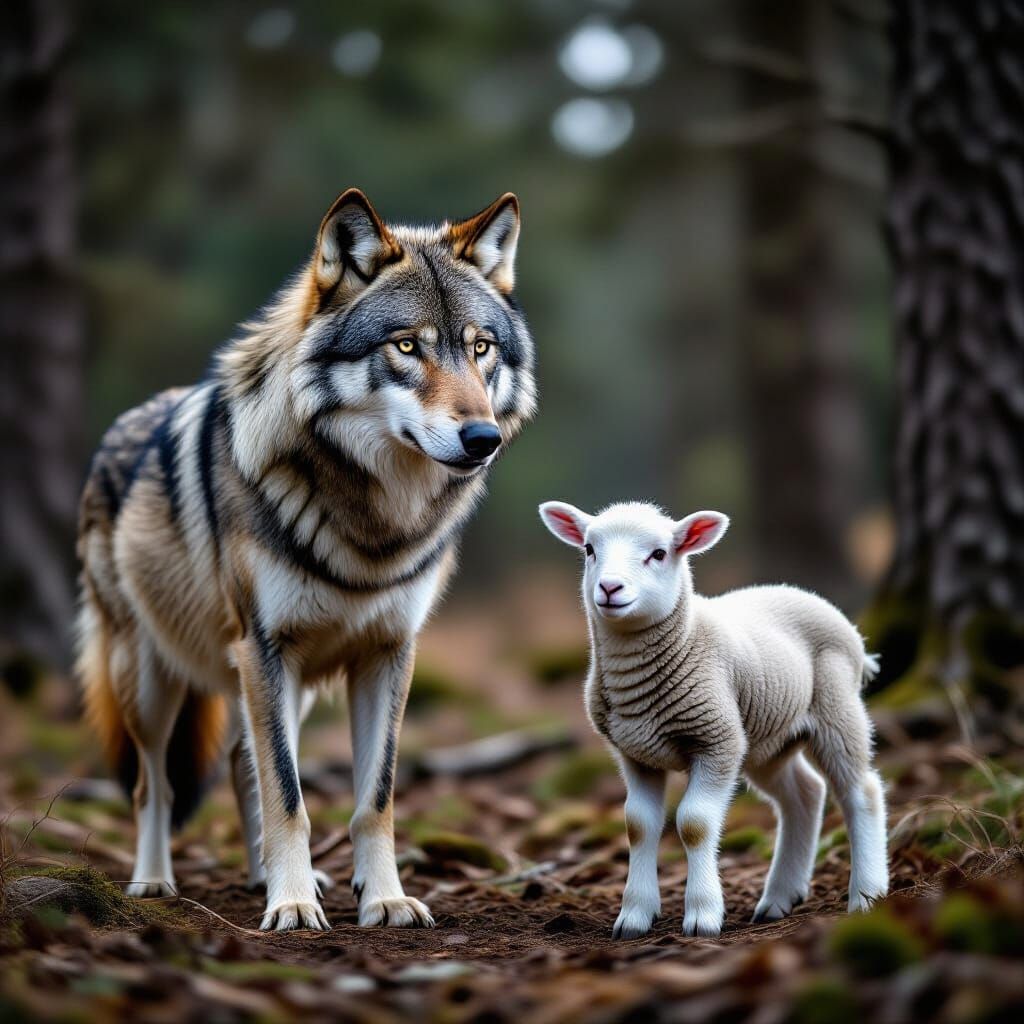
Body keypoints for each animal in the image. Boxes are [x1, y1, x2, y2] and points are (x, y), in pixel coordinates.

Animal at [76, 189, 536, 931]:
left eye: (480, 348)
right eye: (406, 346)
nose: (482, 438)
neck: (373, 521)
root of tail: (118, 429)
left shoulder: (387, 653)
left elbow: (373, 798)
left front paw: (383, 899)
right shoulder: (265, 647)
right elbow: (288, 797)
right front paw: (291, 905)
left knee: (243, 762)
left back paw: (267, 876)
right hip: (151, 681)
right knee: (156, 785)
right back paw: (155, 882)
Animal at [539, 499, 888, 939]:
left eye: (659, 554)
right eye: (589, 549)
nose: (609, 588)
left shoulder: (717, 742)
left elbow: (695, 823)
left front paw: (702, 915)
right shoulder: (635, 753)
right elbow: (638, 825)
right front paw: (634, 916)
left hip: (835, 706)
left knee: (862, 791)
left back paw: (867, 895)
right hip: (767, 740)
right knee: (804, 794)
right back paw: (779, 898)